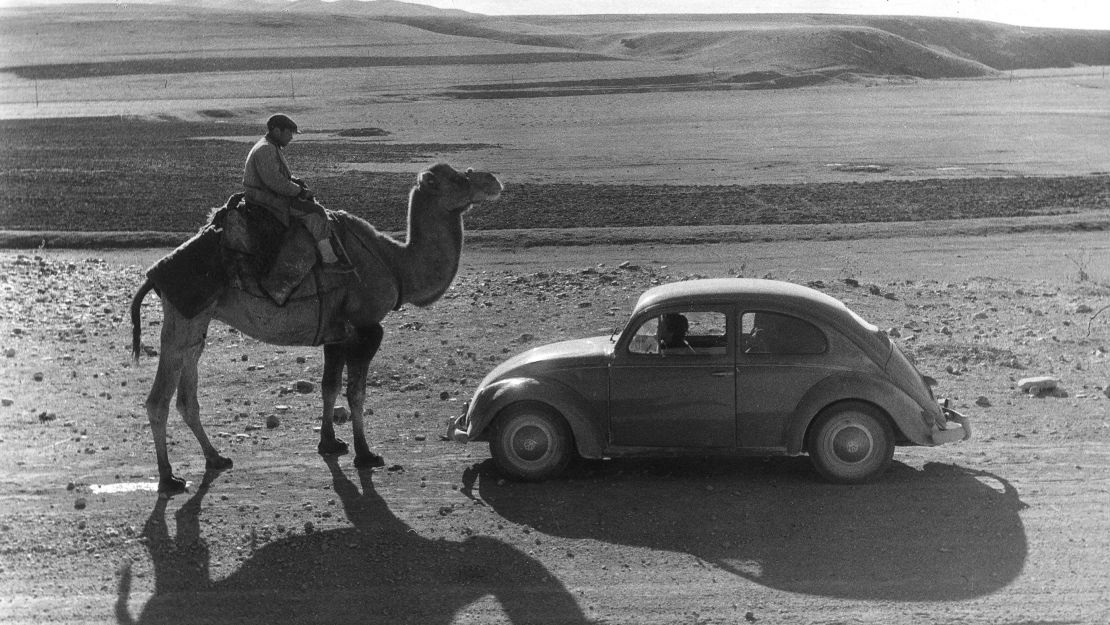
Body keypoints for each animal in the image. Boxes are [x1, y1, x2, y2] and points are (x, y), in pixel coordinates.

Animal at [128, 164, 503, 497]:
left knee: (187, 392)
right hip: (185, 313)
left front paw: (330, 444)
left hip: (199, 318)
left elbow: (329, 387)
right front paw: (366, 454)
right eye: (458, 178)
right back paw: (169, 479)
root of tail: (154, 274)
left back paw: (216, 458)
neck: (395, 264)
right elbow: (356, 393)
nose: (493, 180)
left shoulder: (336, 332)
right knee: (159, 398)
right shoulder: (367, 328)